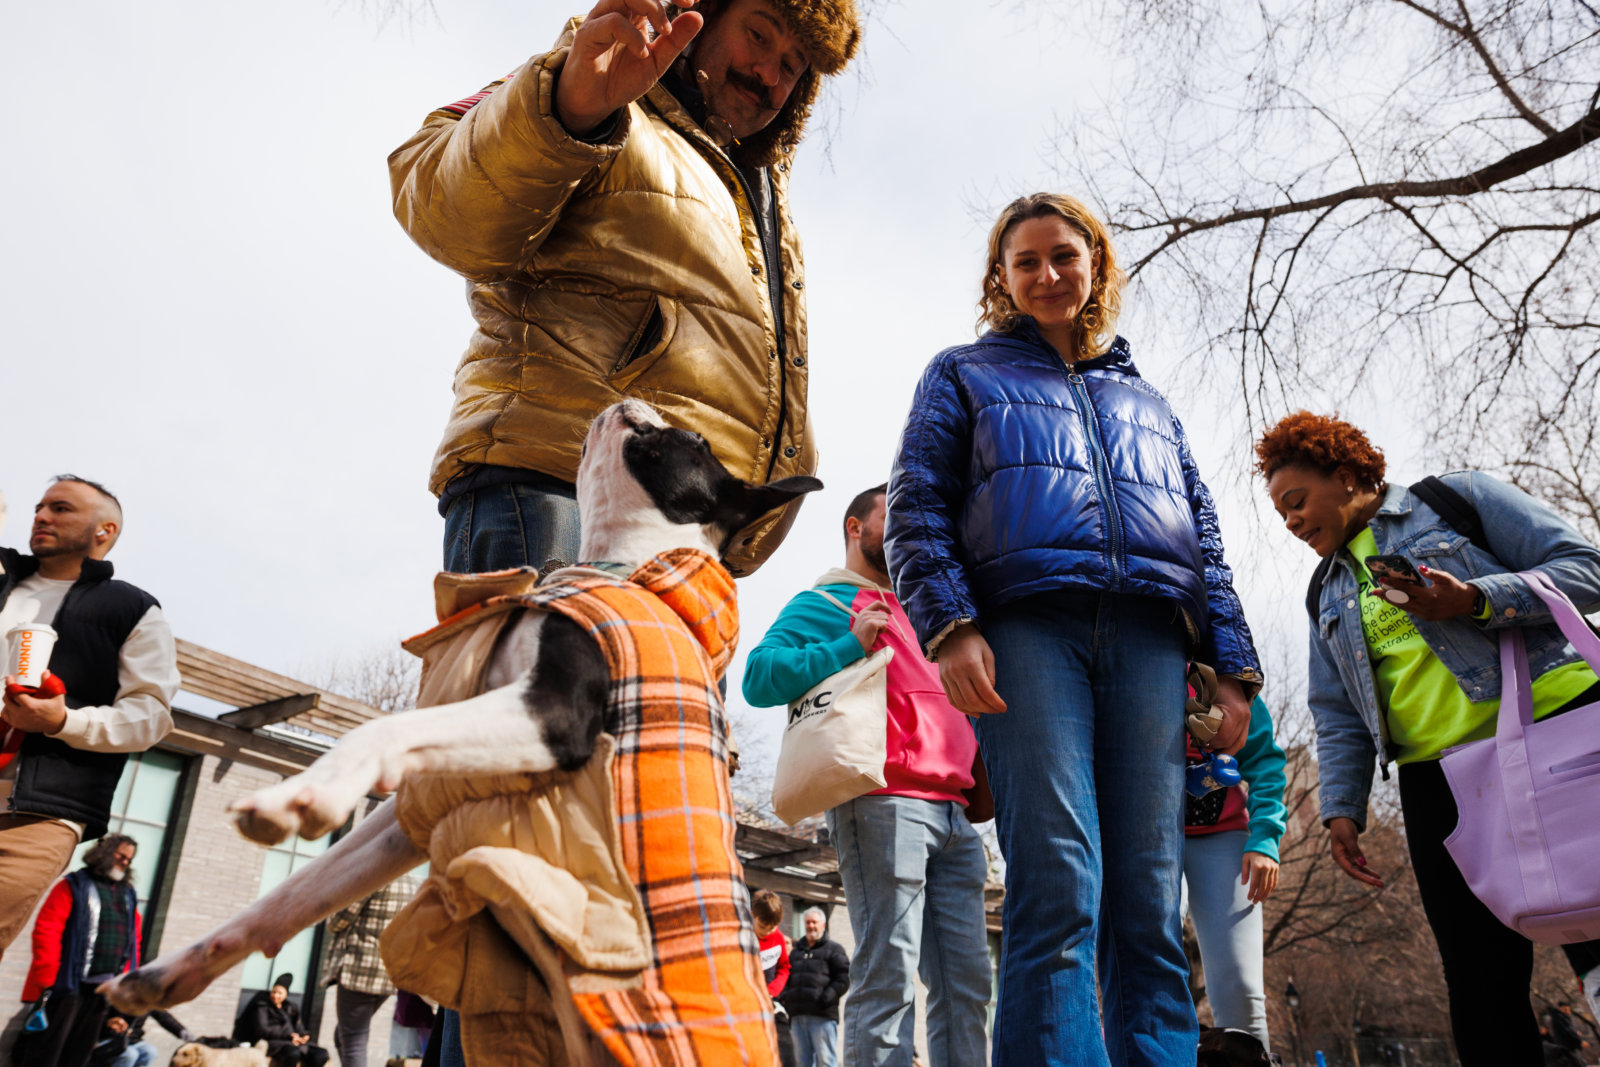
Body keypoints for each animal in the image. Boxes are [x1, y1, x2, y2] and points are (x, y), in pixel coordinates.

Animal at [103, 403, 812, 1067]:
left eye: (692, 441)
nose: (631, 397)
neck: (623, 565)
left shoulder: (550, 716)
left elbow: (386, 729)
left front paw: (304, 796)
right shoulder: (430, 799)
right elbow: (291, 896)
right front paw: (171, 972)